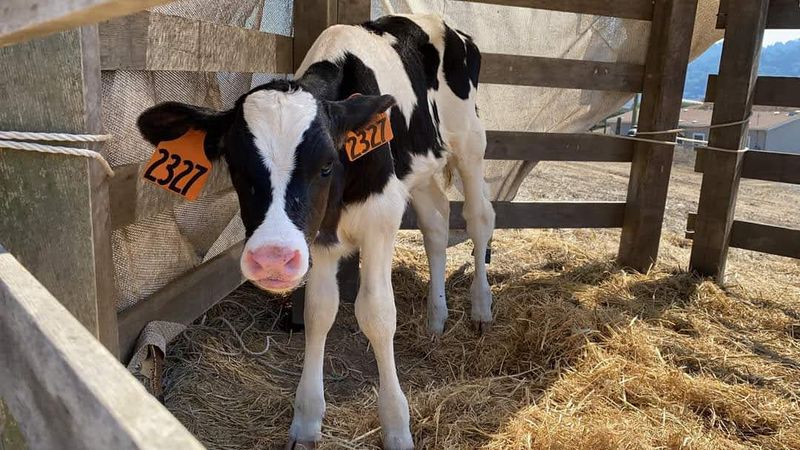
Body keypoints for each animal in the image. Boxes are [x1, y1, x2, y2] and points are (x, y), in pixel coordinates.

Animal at [137, 14, 495, 449]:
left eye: (326, 165)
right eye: (235, 168)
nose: (273, 258)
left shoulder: (381, 218)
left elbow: (377, 314)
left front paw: (396, 427)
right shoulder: (319, 236)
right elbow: (319, 310)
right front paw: (306, 420)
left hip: (471, 141)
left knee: (478, 217)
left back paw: (481, 308)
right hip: (421, 167)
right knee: (437, 222)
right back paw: (436, 317)